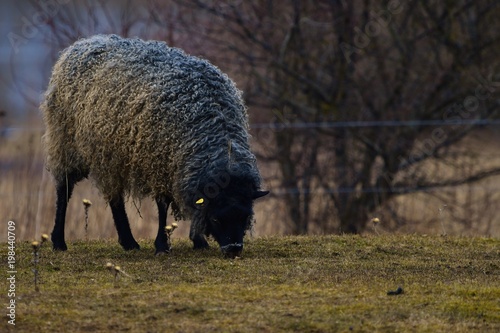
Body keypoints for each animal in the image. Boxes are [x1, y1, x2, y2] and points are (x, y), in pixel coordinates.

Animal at [42, 34, 270, 256]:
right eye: (216, 219)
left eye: (245, 216)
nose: (234, 250)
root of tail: (81, 44)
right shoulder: (160, 163)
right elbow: (163, 205)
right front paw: (162, 245)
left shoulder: (182, 167)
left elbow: (194, 205)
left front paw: (198, 241)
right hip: (66, 142)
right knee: (64, 188)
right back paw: (59, 241)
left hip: (110, 155)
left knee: (115, 197)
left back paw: (128, 242)